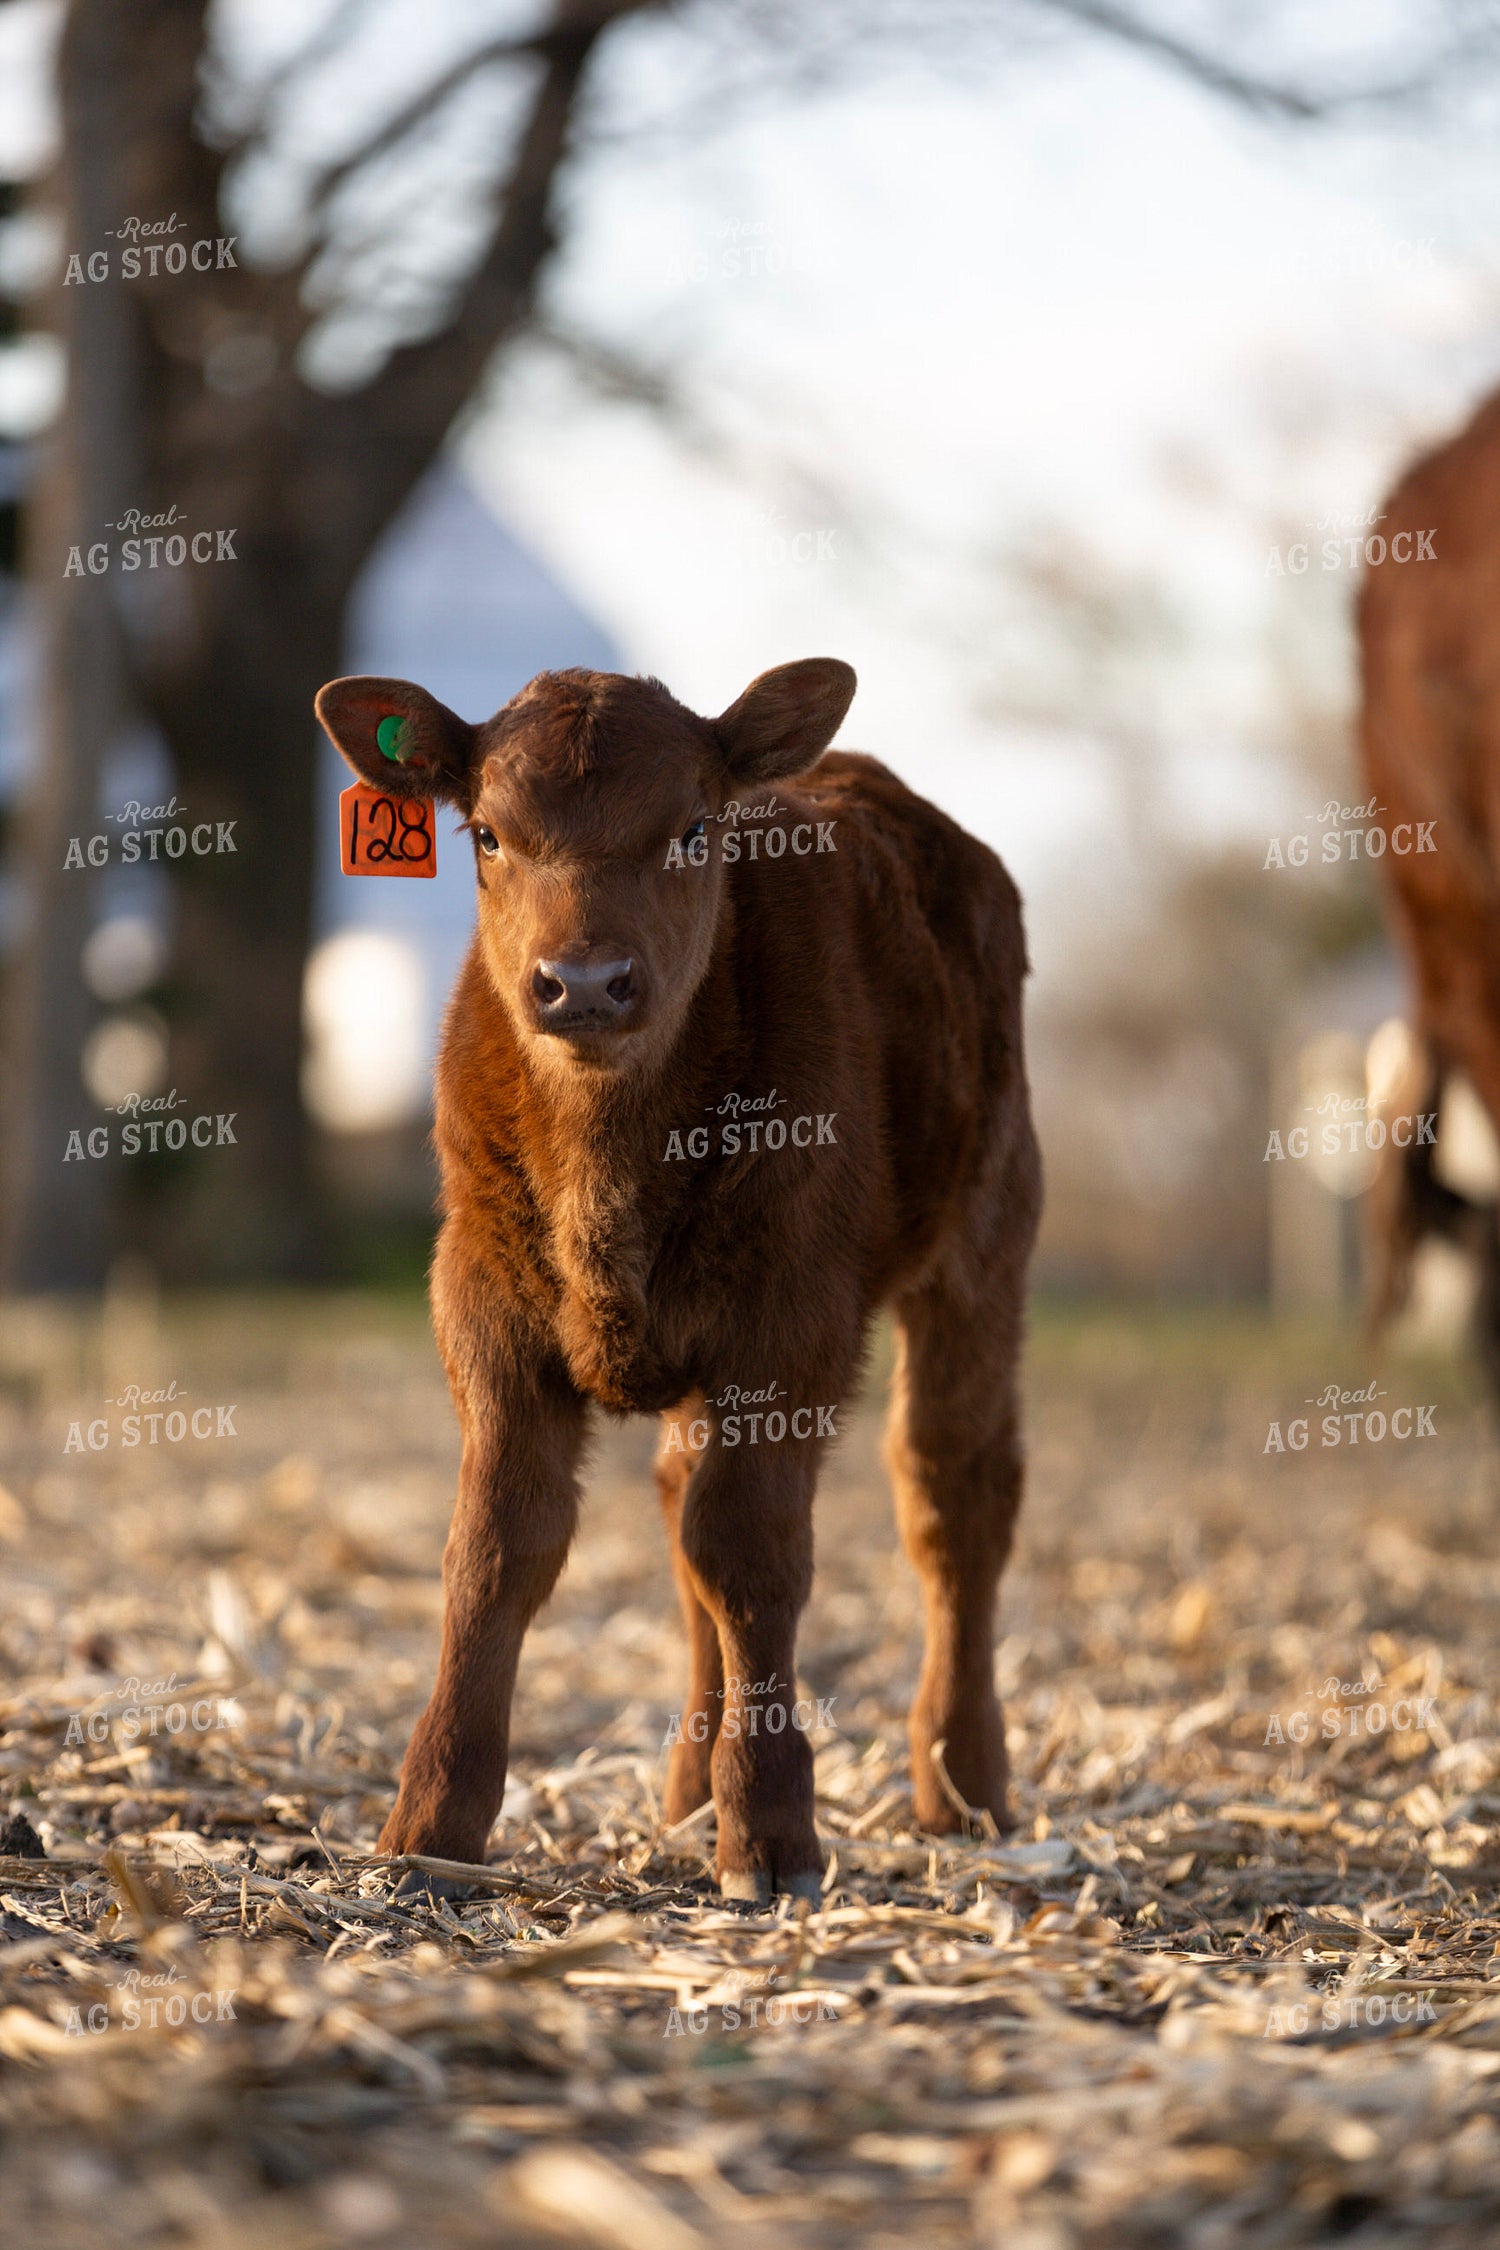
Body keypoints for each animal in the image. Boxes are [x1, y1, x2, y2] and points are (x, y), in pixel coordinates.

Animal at [315, 659, 1042, 1903]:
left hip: (986, 1236)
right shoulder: (482, 1300)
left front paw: (774, 1835)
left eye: (694, 830)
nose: (585, 984)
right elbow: (496, 1548)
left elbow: (750, 1554)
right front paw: (432, 1824)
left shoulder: (791, 1317)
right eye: (487, 834)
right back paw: (691, 1789)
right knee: (677, 1500)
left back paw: (963, 1784)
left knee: (953, 1494)